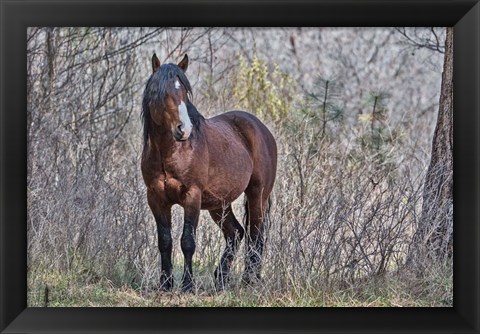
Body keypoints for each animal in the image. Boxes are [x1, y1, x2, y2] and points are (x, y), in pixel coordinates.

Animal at [141, 53, 278, 290]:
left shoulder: (192, 196)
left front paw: (187, 285)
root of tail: (261, 129)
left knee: (256, 235)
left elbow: (187, 241)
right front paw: (165, 284)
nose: (184, 129)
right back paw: (221, 278)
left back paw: (249, 280)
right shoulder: (156, 198)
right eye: (160, 92)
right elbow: (165, 241)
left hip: (257, 194)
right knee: (236, 233)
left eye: (185, 92)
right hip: (220, 204)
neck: (171, 152)